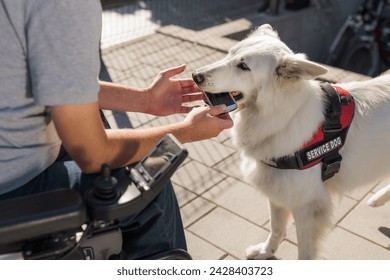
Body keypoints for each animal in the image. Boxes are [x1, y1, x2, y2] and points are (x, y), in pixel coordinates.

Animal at [192, 24, 390, 260]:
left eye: (243, 66)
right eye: (229, 53)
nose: (195, 75)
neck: (283, 117)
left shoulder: (307, 208)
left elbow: (304, 252)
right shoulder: (277, 193)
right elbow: (276, 228)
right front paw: (266, 251)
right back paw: (379, 198)